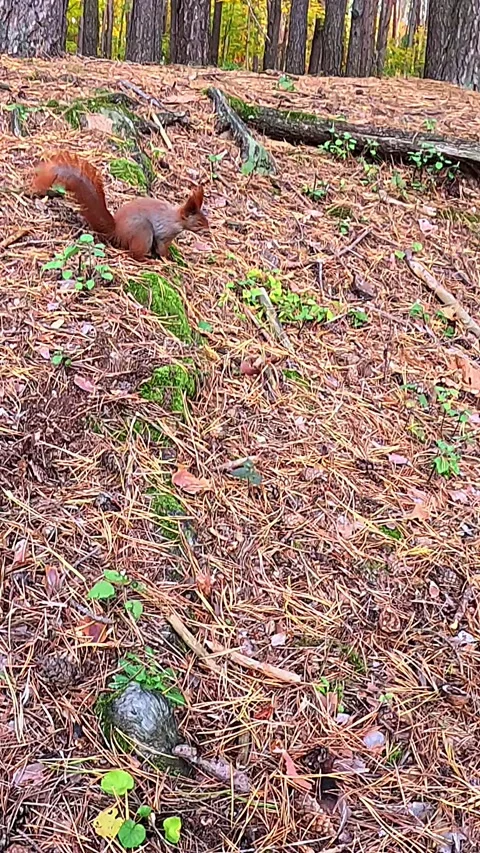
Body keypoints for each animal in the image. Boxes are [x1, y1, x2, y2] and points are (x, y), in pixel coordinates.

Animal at [32, 152, 208, 261]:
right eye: (199, 223)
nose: (208, 229)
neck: (176, 218)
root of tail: (116, 231)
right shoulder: (164, 232)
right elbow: (162, 248)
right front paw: (168, 259)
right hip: (143, 232)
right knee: (134, 254)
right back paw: (148, 260)